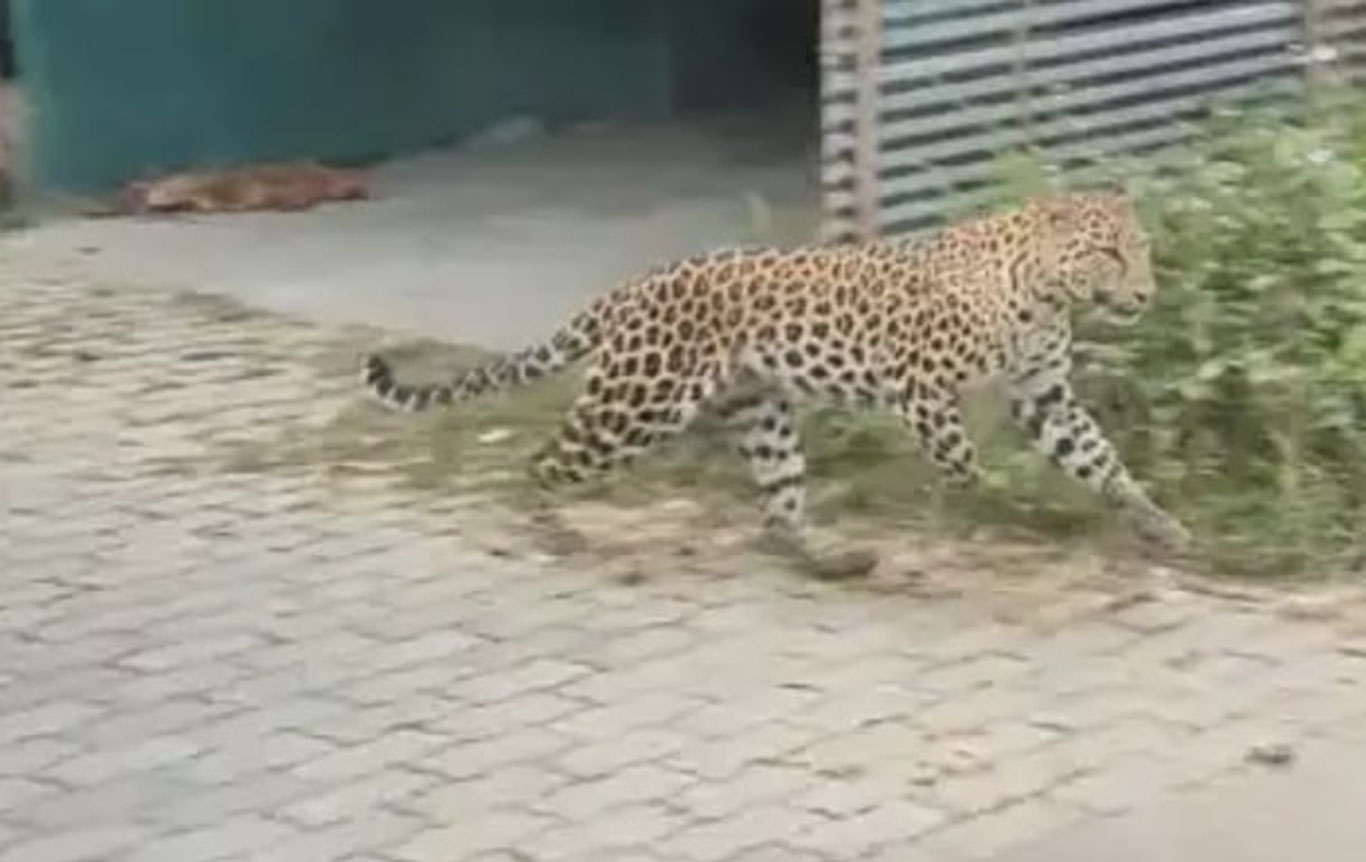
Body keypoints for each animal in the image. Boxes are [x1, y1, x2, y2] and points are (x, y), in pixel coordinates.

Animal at [361, 189, 1191, 577]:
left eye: (1143, 249)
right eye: (1108, 253)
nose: (1146, 293)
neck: (1046, 295)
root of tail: (630, 286)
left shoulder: (1042, 395)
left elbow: (1102, 461)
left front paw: (1159, 524)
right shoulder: (922, 387)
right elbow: (962, 462)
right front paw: (982, 508)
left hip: (759, 412)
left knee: (778, 512)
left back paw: (835, 559)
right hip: (637, 403)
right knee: (541, 460)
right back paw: (549, 527)